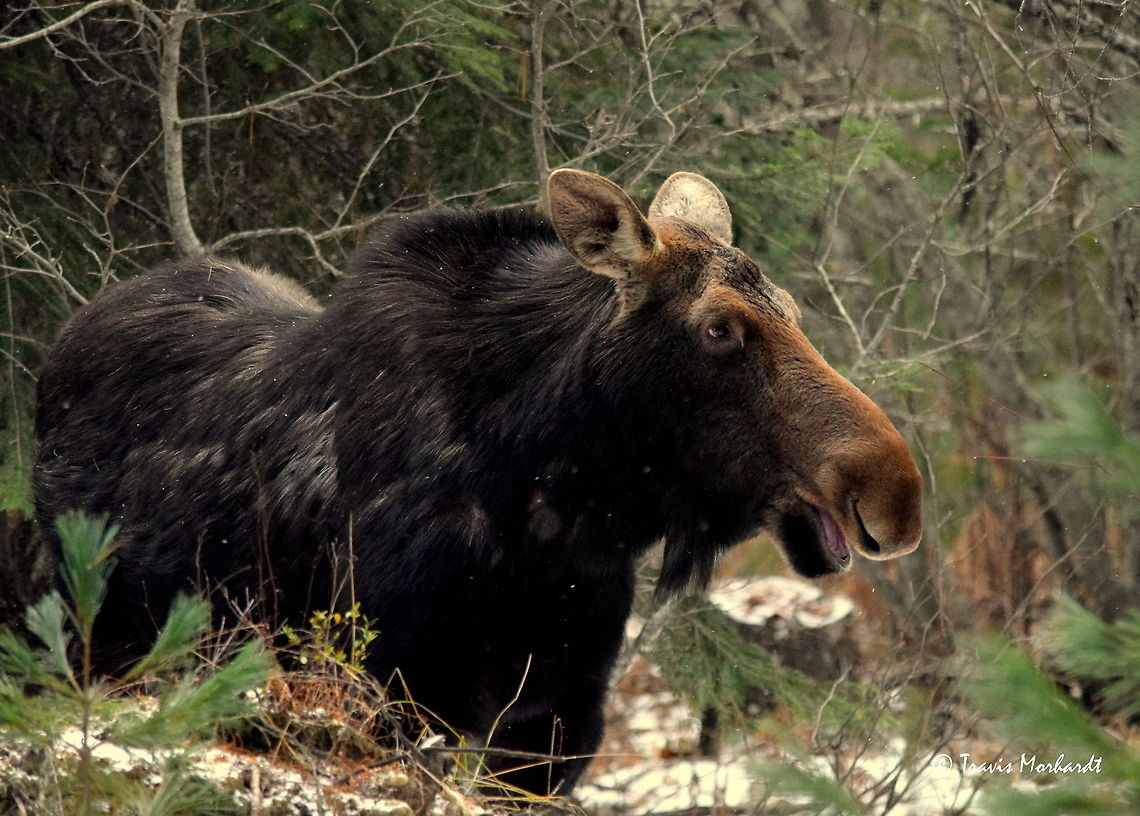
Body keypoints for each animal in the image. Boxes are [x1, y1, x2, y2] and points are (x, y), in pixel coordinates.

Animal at [33, 169, 922, 796]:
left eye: (795, 308)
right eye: (721, 328)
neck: (552, 493)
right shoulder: (387, 692)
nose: (896, 492)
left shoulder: (554, 722)